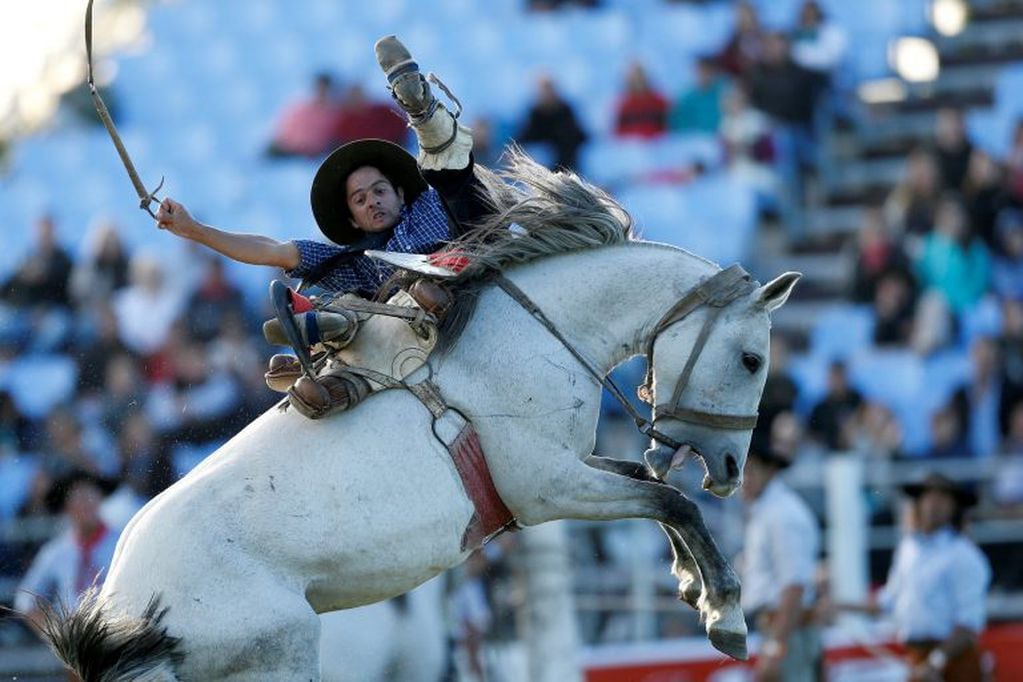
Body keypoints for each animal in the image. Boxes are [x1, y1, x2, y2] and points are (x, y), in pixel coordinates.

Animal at [39, 157, 797, 678]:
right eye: (752, 358)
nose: (729, 468)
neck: (533, 328)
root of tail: (124, 605)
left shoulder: (569, 470)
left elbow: (654, 490)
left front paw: (694, 587)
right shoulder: (548, 489)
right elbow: (669, 498)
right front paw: (724, 611)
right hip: (276, 658)